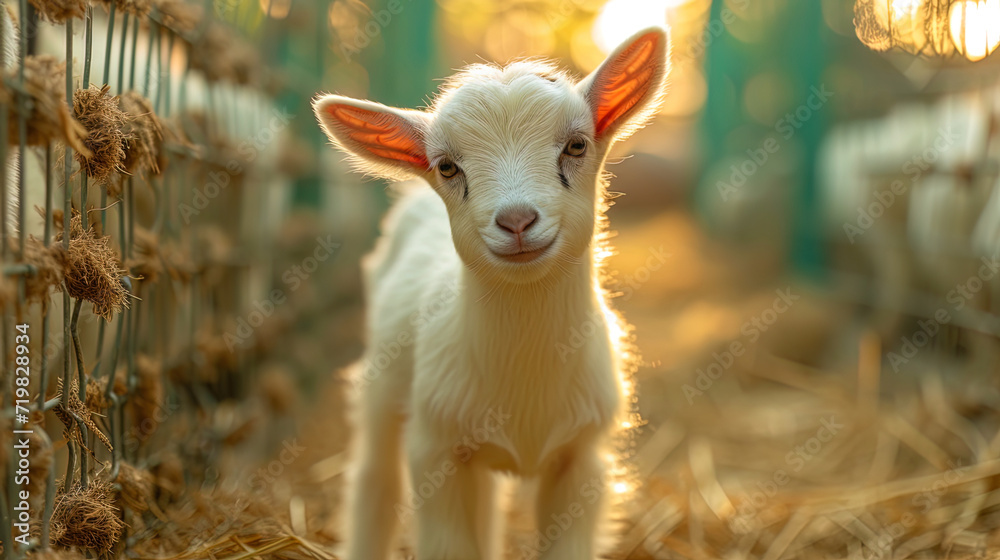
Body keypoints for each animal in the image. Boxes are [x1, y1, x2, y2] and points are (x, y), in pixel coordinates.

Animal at [313, 27, 669, 559]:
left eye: (577, 145)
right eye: (446, 166)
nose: (517, 220)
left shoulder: (583, 457)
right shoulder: (435, 450)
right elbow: (447, 544)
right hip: (382, 384)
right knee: (376, 479)